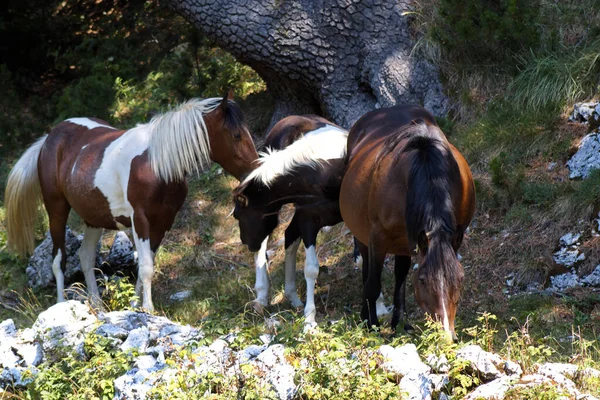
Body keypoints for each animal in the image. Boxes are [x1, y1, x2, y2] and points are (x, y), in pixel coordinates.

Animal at [4, 92, 258, 310]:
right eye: (236, 135)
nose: (253, 174)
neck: (155, 164)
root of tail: (50, 138)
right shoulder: (140, 221)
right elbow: (145, 266)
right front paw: (149, 310)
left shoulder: (162, 223)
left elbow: (147, 264)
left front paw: (137, 306)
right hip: (56, 210)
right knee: (59, 260)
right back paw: (60, 304)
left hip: (94, 218)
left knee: (86, 257)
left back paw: (97, 306)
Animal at [340, 104, 476, 340]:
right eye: (422, 280)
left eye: (460, 278)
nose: (447, 335)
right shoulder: (378, 238)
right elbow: (373, 284)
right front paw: (372, 325)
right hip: (368, 236)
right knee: (368, 272)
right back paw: (368, 317)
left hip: (405, 239)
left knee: (400, 274)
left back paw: (399, 321)